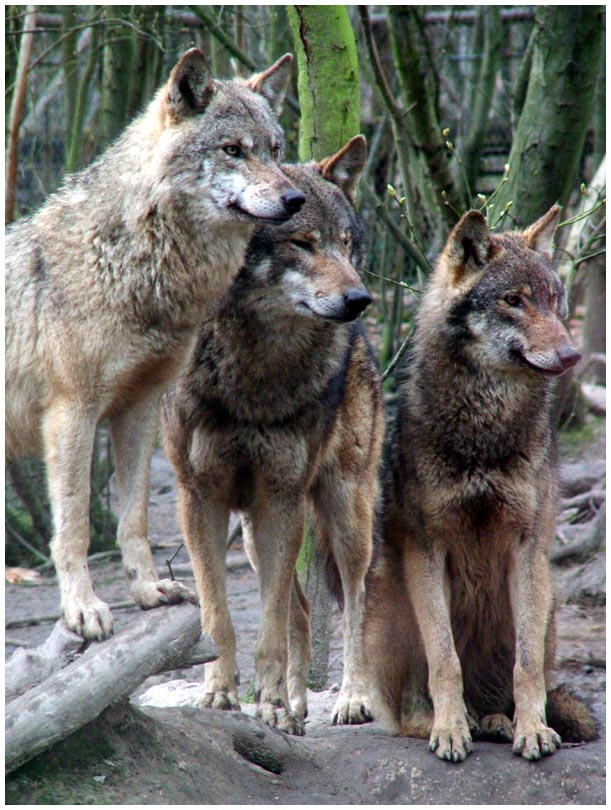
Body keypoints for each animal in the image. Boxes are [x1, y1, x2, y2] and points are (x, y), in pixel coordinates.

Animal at [5, 48, 305, 641]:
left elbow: (135, 516)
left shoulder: (139, 408)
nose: (294, 198)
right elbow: (74, 525)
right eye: (233, 150)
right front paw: (83, 610)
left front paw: (147, 591)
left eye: (276, 149)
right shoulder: (71, 413)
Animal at [161, 135, 384, 734]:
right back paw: (300, 702)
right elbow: (219, 615)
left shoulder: (279, 498)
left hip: (344, 512)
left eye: (347, 244)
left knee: (355, 600)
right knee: (300, 609)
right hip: (254, 537)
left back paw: (350, 699)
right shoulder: (200, 498)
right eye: (303, 243)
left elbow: (270, 628)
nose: (360, 299)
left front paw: (270, 707)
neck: (256, 370)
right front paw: (222, 694)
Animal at [364, 205, 596, 761]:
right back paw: (449, 720)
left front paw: (532, 729)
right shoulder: (426, 550)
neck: (486, 428)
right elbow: (444, 660)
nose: (571, 355)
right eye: (513, 301)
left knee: (512, 679)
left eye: (553, 299)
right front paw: (448, 729)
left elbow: (526, 668)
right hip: (388, 605)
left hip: (542, 605)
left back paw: (496, 719)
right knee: (402, 708)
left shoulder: (528, 548)